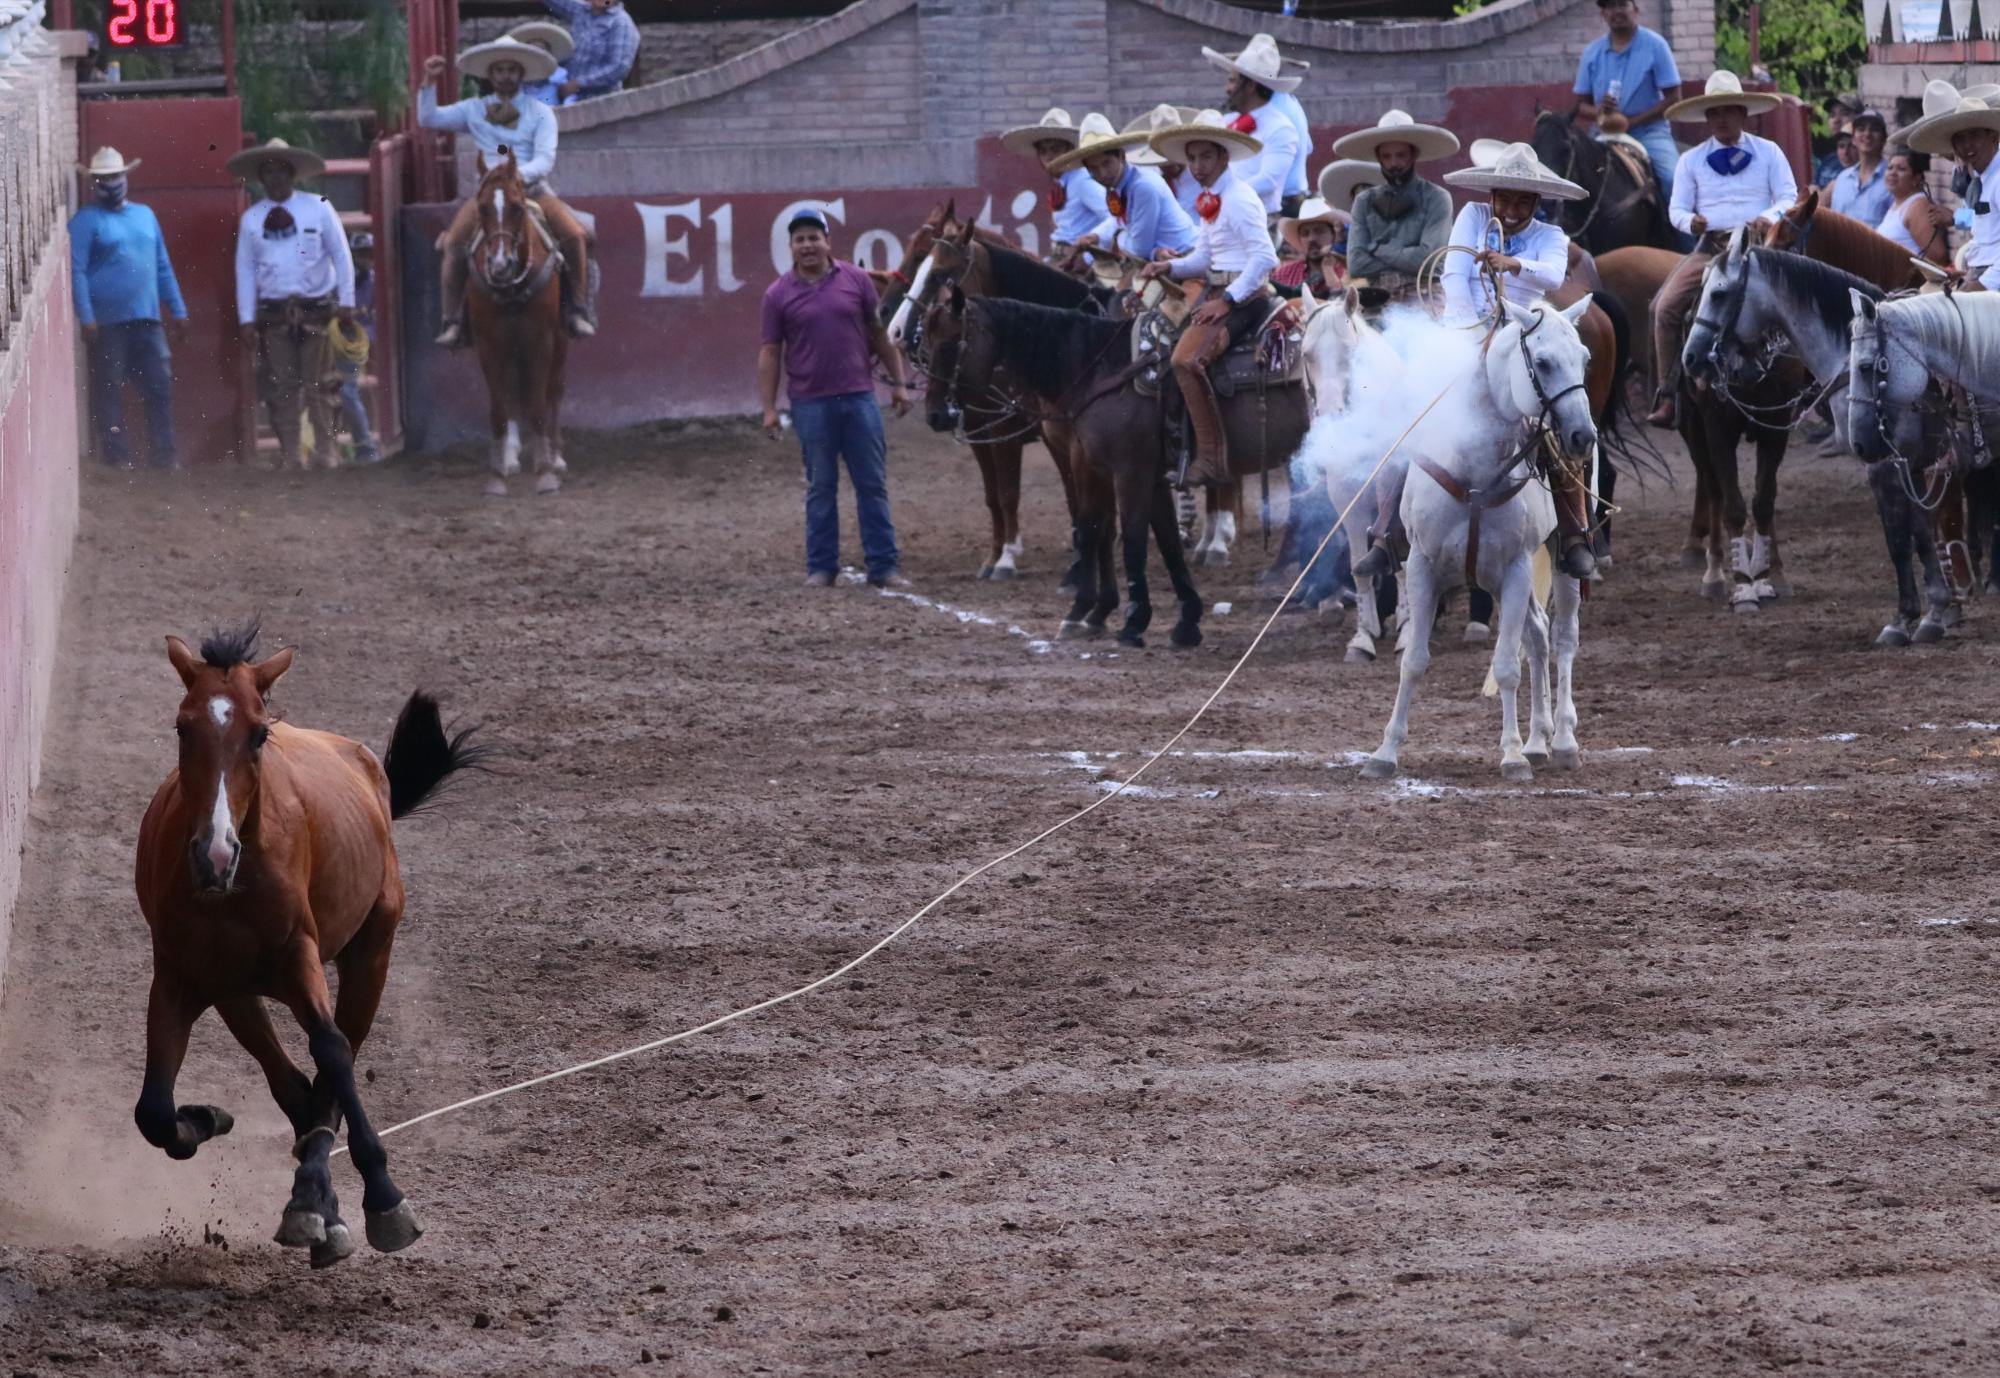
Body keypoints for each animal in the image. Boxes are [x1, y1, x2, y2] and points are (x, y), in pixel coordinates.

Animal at [134, 624, 488, 1272]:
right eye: (182, 726)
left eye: (259, 732)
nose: (214, 854)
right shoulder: (179, 975)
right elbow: (153, 1110)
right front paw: (202, 1117)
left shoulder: (301, 956)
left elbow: (332, 1051)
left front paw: (384, 1201)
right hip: (236, 991)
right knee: (292, 1085)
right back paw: (313, 1199)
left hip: (370, 953)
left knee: (332, 1060)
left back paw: (319, 1200)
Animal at [466, 153, 564, 498]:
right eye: (482, 207)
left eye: (517, 207)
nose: (500, 265)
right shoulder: (488, 343)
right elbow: (498, 409)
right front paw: (497, 477)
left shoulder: (543, 340)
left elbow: (538, 405)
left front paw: (545, 474)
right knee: (510, 394)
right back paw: (510, 457)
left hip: (558, 344)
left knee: (553, 392)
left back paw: (554, 456)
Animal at [920, 290, 1200, 644]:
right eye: (927, 344)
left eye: (948, 345)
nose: (934, 415)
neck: (1101, 371)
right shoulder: (1097, 461)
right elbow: (1133, 534)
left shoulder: (1115, 466)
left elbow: (1107, 531)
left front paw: (1100, 611)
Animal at [1360, 294, 1592, 780]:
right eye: (1543, 362)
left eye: (1584, 359)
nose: (1583, 435)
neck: (1474, 470)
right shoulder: (1423, 567)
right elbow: (1413, 662)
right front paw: (1385, 752)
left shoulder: (1516, 568)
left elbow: (1505, 667)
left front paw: (1511, 755)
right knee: (1538, 636)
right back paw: (1539, 739)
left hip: (1558, 560)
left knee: (1563, 637)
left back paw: (1562, 739)